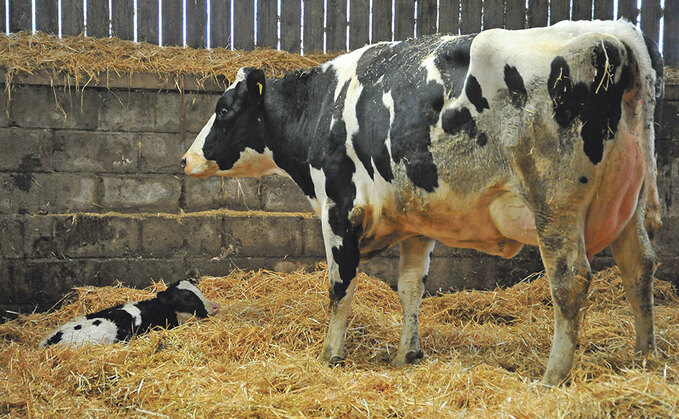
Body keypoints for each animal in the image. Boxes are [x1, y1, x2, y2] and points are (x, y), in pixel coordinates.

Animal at [181, 20, 664, 388]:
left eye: (223, 110)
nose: (185, 159)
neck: (321, 107)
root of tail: (614, 33)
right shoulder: (415, 221)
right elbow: (411, 288)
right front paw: (406, 354)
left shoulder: (340, 208)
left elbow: (339, 287)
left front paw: (329, 355)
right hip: (628, 203)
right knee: (638, 266)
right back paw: (644, 357)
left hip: (555, 205)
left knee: (570, 280)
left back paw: (554, 376)